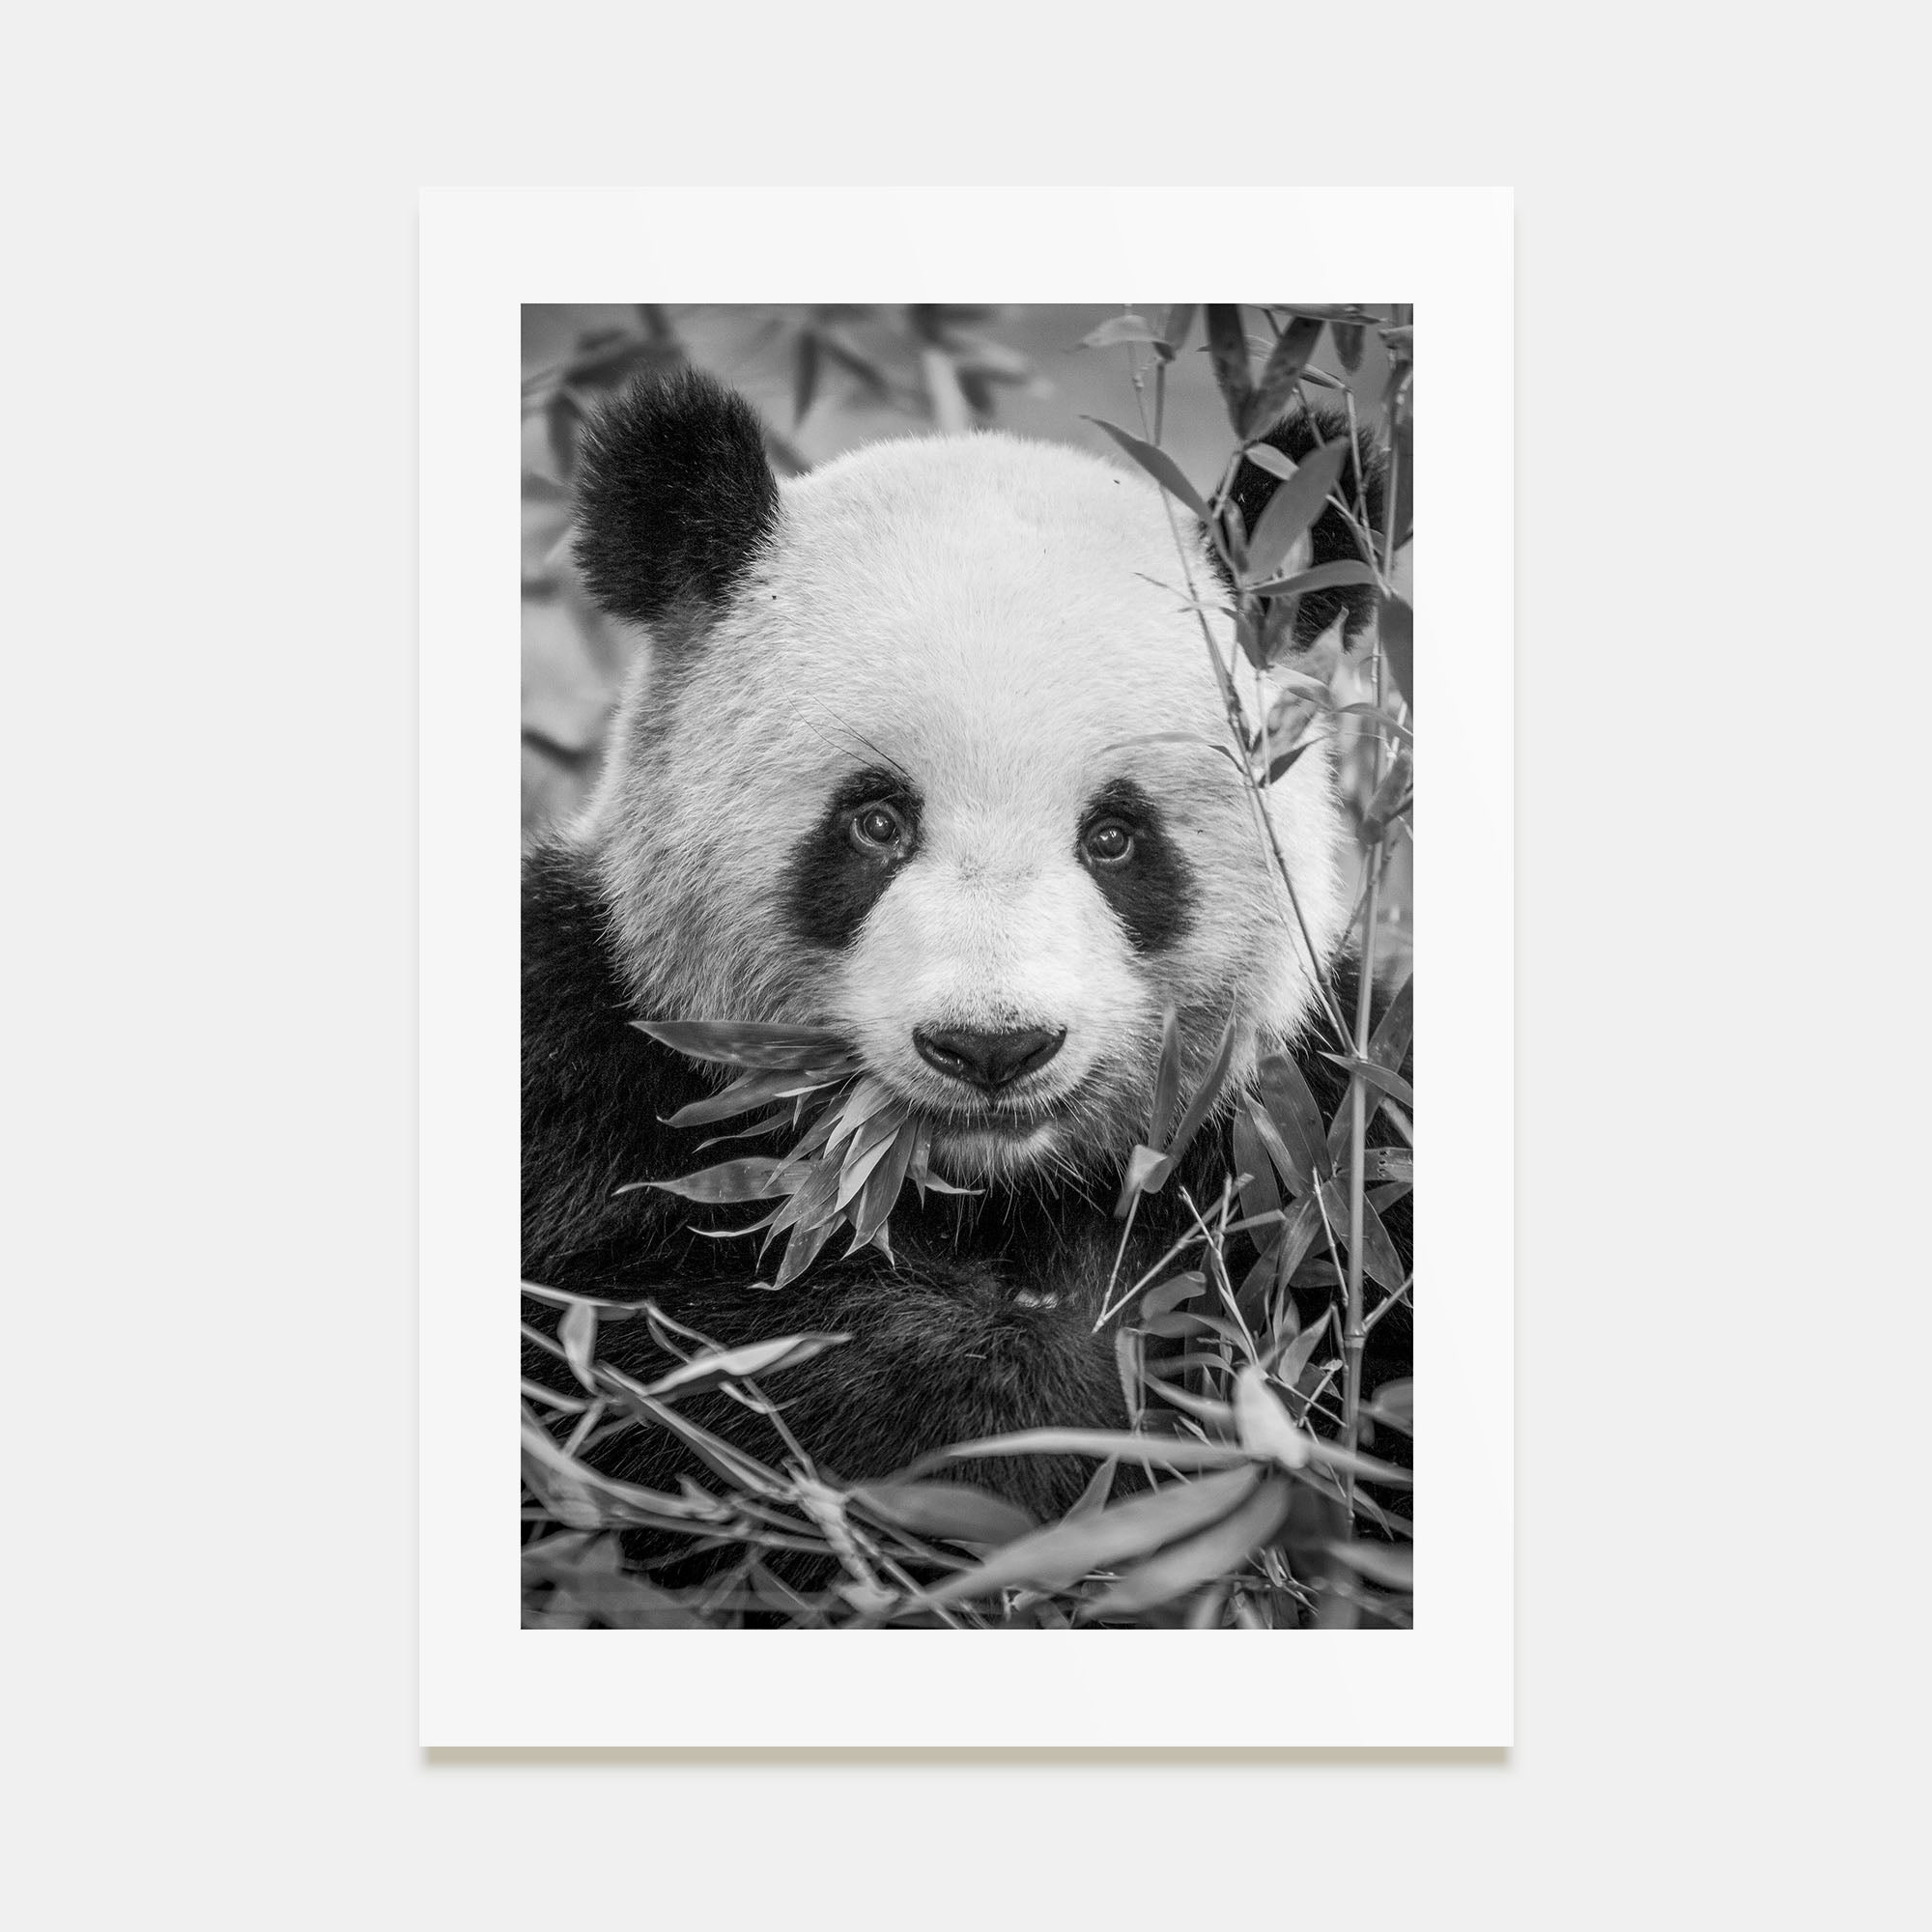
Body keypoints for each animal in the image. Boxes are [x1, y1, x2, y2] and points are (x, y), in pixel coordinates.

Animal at [523, 366, 1409, 1531]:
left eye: (1115, 837)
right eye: (874, 822)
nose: (992, 1047)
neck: (985, 1194)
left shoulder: (1318, 1127)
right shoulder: (582, 1068)